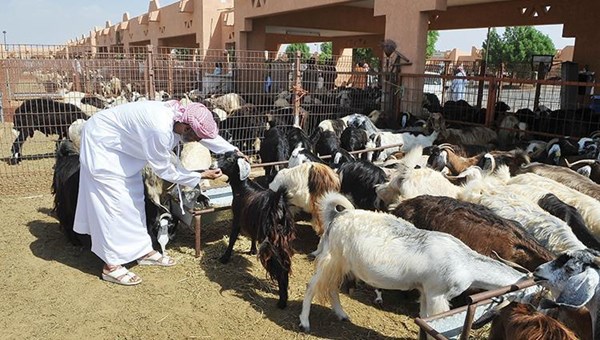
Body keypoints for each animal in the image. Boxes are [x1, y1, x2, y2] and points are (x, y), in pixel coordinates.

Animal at [218, 151, 298, 308]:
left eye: (229, 159)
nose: (215, 165)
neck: (242, 188)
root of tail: (278, 207)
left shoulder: (237, 218)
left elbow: (232, 238)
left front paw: (224, 257)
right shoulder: (253, 222)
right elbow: (252, 236)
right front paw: (252, 250)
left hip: (272, 242)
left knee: (280, 269)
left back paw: (282, 301)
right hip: (283, 240)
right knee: (285, 266)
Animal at [298, 191, 536, 332]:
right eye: (533, 295)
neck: (467, 263)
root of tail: (338, 217)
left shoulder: (424, 291)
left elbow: (424, 317)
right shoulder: (437, 294)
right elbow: (435, 319)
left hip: (341, 264)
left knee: (331, 288)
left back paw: (341, 315)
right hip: (331, 258)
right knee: (312, 286)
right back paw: (305, 322)